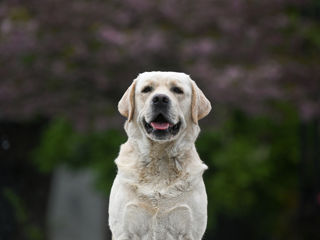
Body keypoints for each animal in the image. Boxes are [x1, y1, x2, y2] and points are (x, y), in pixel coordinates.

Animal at [109, 71, 211, 240]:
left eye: (177, 90)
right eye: (147, 89)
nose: (160, 99)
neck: (160, 156)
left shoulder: (189, 230)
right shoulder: (124, 230)